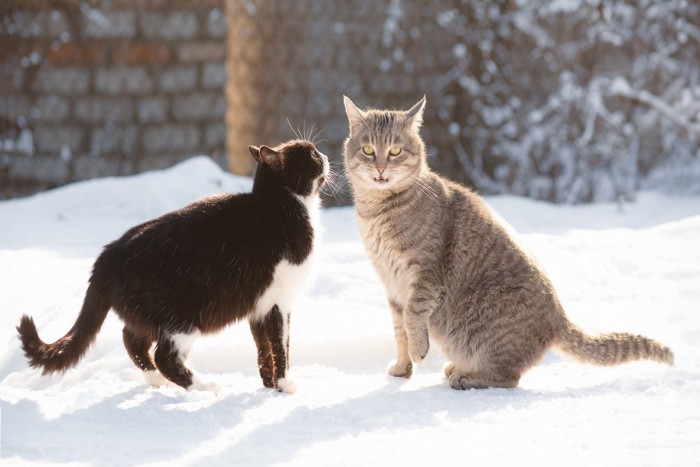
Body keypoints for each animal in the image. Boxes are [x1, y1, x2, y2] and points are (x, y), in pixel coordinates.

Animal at [17, 140, 330, 394]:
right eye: (312, 154)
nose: (326, 154)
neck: (281, 206)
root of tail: (108, 255)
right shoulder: (280, 301)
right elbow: (281, 346)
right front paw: (285, 385)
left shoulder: (259, 306)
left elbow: (264, 348)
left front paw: (268, 385)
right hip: (182, 317)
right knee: (164, 356)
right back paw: (205, 386)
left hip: (145, 313)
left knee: (132, 340)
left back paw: (156, 381)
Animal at [344, 97, 672, 390]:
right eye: (369, 149)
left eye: (395, 150)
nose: (381, 169)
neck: (376, 211)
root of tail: (559, 318)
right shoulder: (392, 287)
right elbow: (399, 331)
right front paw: (402, 368)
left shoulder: (424, 276)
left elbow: (413, 319)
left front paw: (418, 351)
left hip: (483, 324)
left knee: (508, 377)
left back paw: (465, 377)